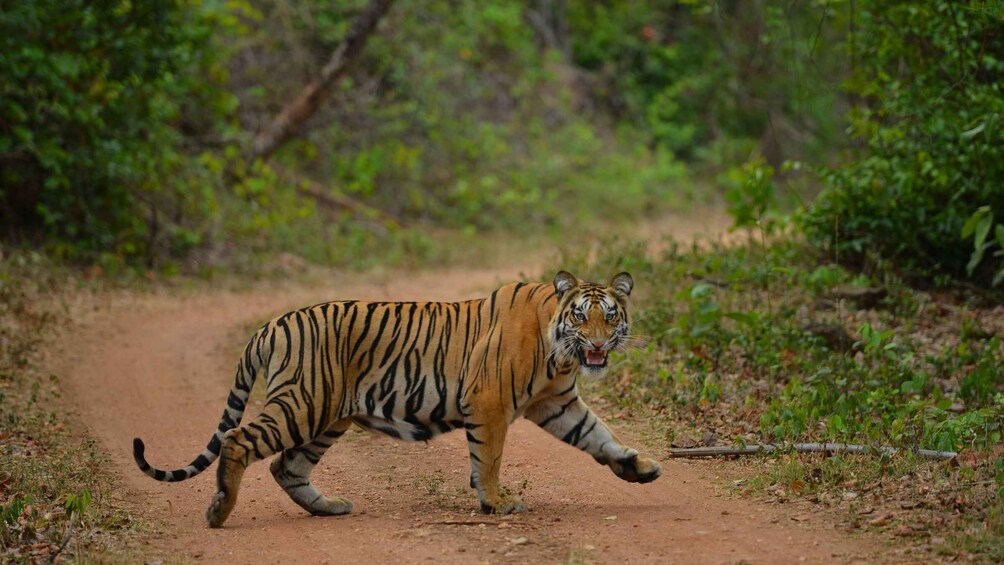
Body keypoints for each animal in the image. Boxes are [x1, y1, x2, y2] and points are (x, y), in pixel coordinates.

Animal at [135, 268, 666, 525]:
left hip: (328, 417)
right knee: (239, 440)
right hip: (303, 403)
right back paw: (219, 511)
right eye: (580, 316)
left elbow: (599, 435)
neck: (560, 354)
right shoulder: (490, 402)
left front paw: (639, 468)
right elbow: (489, 458)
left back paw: (329, 507)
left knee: (287, 466)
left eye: (610, 316)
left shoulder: (556, 404)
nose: (597, 345)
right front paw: (496, 502)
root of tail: (271, 323)